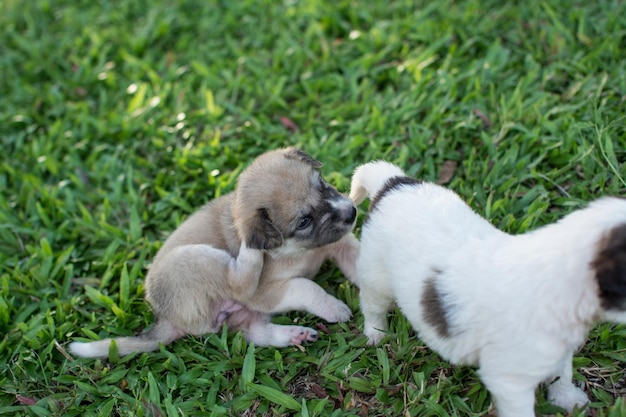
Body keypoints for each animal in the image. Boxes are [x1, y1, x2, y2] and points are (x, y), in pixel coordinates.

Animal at [69, 148, 358, 356]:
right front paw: (334, 307)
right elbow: (307, 287)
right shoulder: (264, 294)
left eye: (321, 184)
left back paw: (295, 335)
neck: (302, 251)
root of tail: (165, 318)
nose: (352, 212)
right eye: (304, 221)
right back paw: (248, 251)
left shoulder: (340, 245)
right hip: (198, 258)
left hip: (241, 315)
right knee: (239, 283)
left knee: (258, 333)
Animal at [352, 161, 624, 416]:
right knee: (373, 306)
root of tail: (393, 183)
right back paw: (376, 334)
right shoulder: (509, 380)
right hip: (376, 276)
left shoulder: (557, 348)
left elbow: (562, 373)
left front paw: (568, 400)